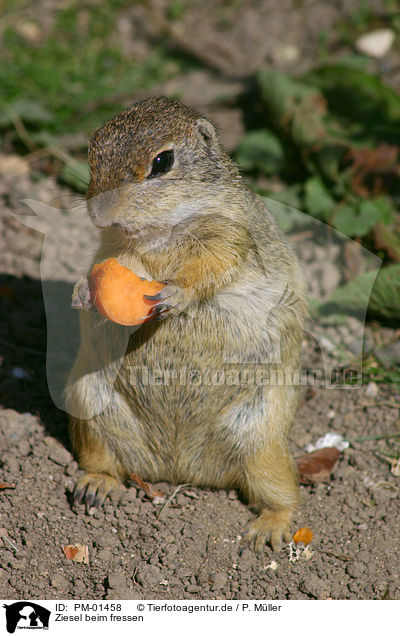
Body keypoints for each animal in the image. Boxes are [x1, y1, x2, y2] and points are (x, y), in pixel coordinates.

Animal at [65, 95, 308, 552]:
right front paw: (83, 292)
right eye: (92, 149)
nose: (100, 216)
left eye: (163, 161)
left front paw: (174, 295)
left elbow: (212, 266)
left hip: (263, 444)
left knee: (285, 496)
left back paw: (268, 528)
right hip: (91, 413)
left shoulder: (228, 235)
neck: (157, 233)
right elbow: (107, 268)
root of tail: (180, 468)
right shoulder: (115, 250)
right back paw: (96, 486)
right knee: (105, 463)